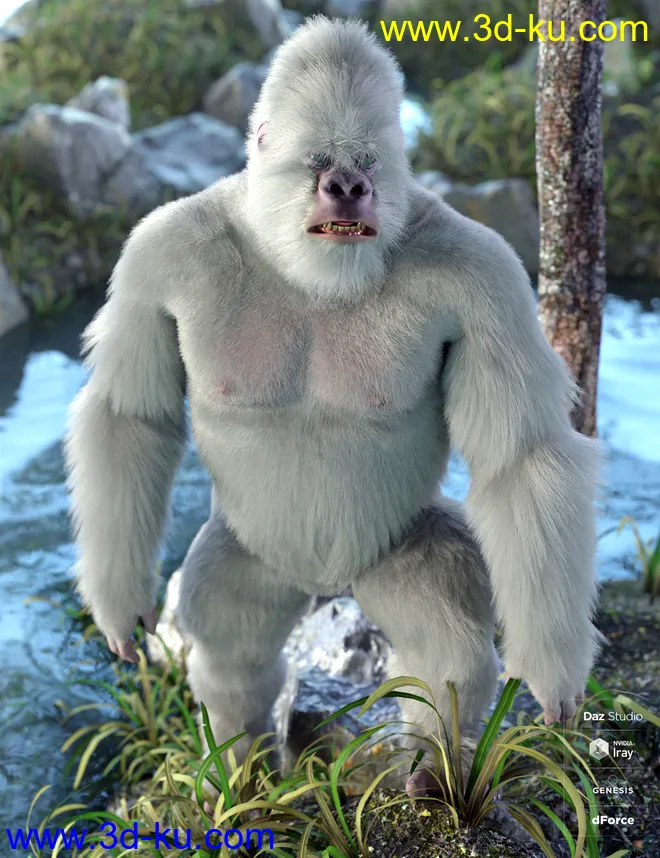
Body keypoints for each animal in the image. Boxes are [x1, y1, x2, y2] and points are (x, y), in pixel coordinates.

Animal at [65, 16, 602, 781]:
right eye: (319, 158)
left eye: (367, 160)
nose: (347, 186)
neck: (306, 268)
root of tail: (330, 581)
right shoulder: (154, 258)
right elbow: (131, 418)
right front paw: (119, 604)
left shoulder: (489, 282)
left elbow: (523, 457)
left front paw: (553, 668)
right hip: (253, 554)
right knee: (231, 648)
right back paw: (246, 772)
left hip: (396, 553)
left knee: (447, 652)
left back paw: (431, 776)